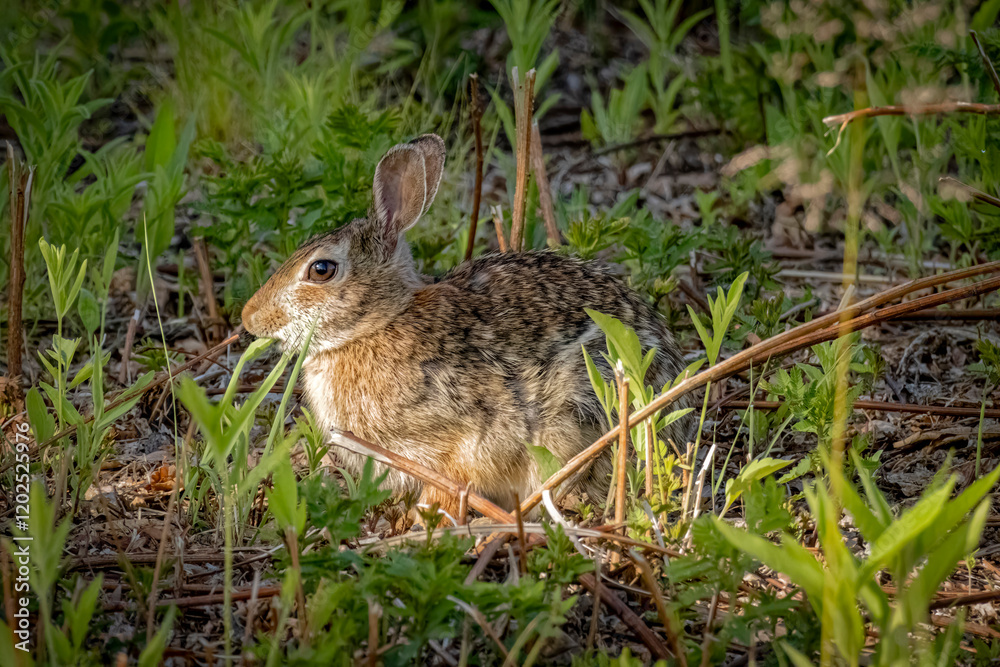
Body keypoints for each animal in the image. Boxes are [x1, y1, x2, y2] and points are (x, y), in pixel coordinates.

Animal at [241, 133, 694, 519]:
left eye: (321, 269)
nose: (250, 318)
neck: (378, 324)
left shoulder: (459, 440)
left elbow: (452, 482)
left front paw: (425, 521)